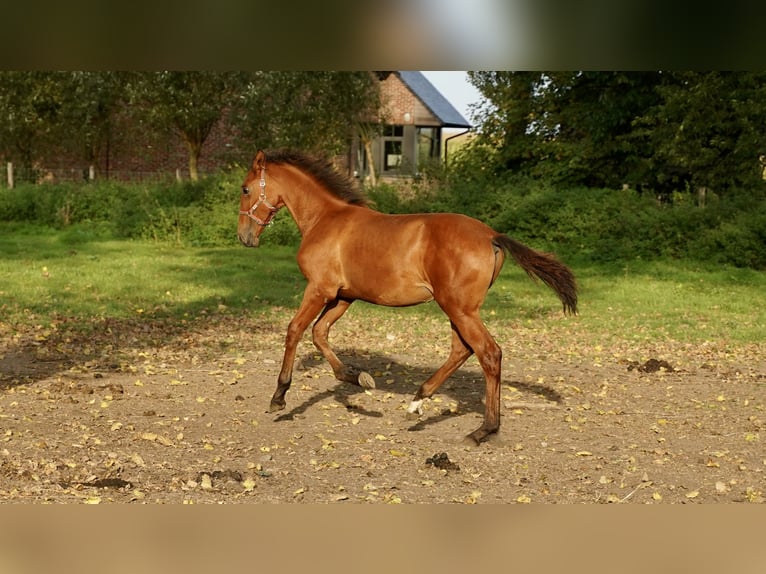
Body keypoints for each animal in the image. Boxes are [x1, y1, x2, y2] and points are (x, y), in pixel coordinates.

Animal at [240, 148, 576, 446]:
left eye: (245, 189)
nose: (244, 237)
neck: (325, 219)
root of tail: (492, 236)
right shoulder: (343, 296)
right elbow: (320, 333)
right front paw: (355, 376)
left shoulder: (319, 289)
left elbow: (295, 330)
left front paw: (279, 397)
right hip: (457, 309)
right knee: (462, 350)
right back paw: (417, 402)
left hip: (458, 308)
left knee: (489, 353)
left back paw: (483, 430)